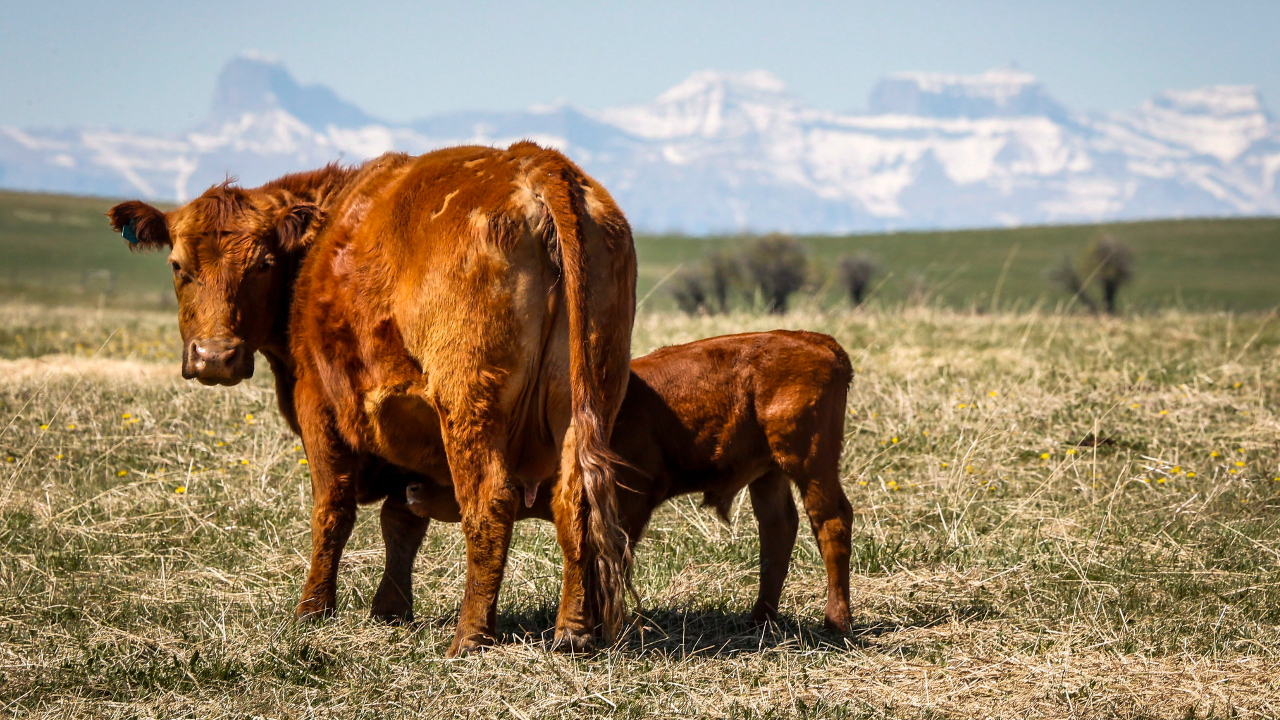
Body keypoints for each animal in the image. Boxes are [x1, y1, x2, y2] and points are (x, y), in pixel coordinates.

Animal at [106, 142, 636, 656]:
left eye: (262, 265)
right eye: (179, 267)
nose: (215, 356)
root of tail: (536, 162)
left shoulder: (318, 403)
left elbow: (333, 511)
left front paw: (313, 609)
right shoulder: (409, 428)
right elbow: (401, 521)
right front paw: (391, 608)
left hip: (468, 404)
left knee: (489, 501)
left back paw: (469, 637)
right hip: (585, 402)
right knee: (574, 501)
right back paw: (572, 632)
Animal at [405, 330, 855, 634]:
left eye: (451, 464)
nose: (409, 487)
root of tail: (814, 340)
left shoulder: (631, 503)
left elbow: (611, 561)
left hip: (809, 461)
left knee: (831, 522)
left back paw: (836, 623)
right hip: (769, 472)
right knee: (778, 529)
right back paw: (760, 619)